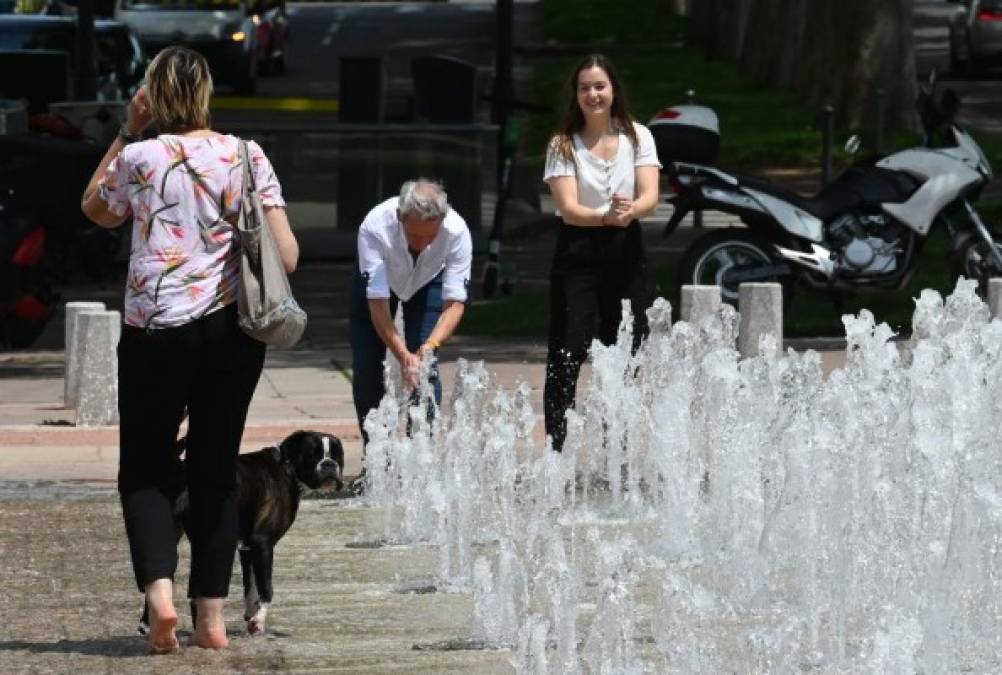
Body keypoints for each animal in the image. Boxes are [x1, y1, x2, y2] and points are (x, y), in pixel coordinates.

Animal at [139, 428, 344, 632]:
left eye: (338, 454)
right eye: (312, 455)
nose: (329, 464)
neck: (288, 468)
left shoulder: (248, 548)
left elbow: (250, 585)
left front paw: (251, 612)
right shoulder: (263, 543)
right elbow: (266, 588)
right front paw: (258, 620)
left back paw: (151, 624)